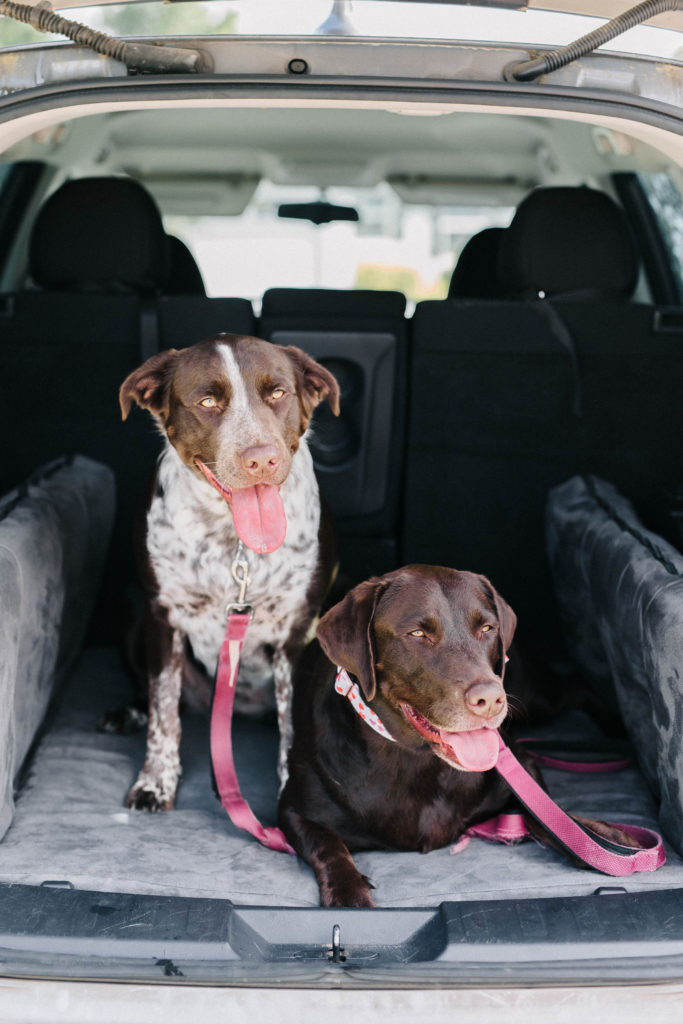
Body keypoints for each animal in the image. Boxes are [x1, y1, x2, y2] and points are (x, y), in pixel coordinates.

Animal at [119, 331, 342, 811]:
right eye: (207, 401)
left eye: (278, 393)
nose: (261, 460)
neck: (233, 539)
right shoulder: (163, 617)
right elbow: (164, 711)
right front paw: (155, 781)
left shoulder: (298, 630)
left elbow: (292, 724)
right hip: (133, 615)